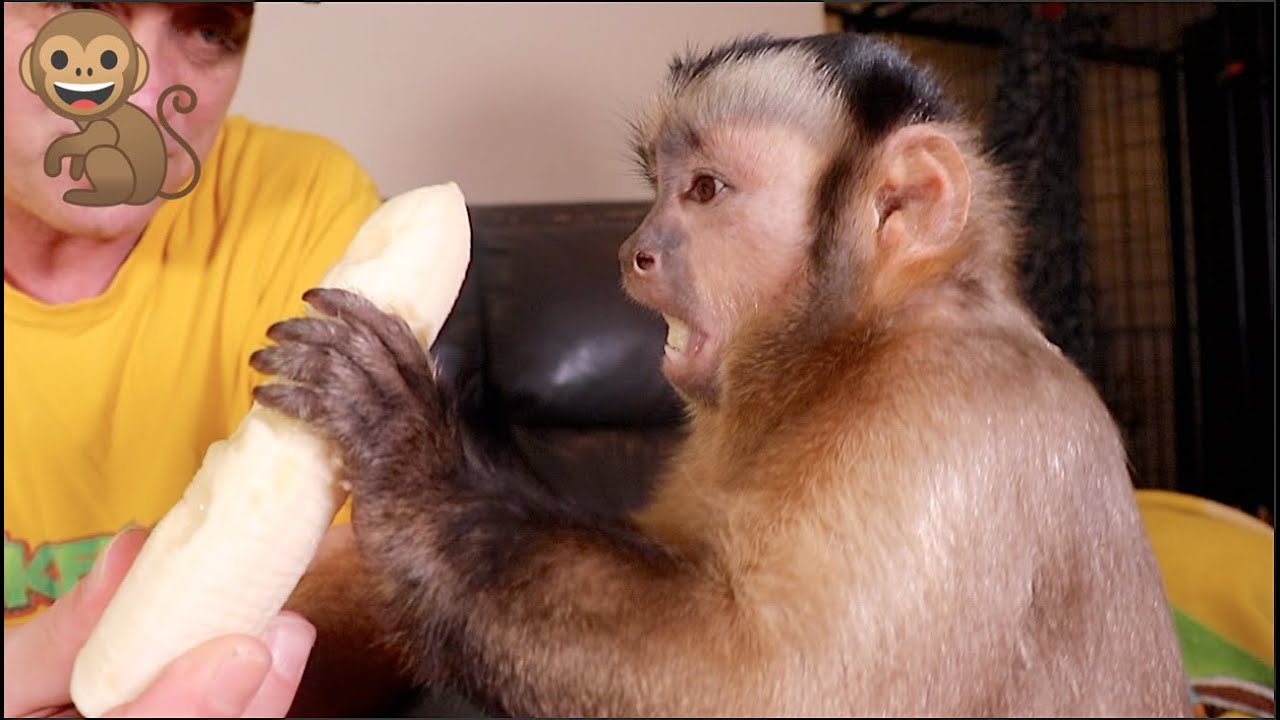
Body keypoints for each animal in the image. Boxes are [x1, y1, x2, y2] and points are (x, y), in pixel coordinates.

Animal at [19, 8, 200, 208]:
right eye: (58, 59)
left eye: (109, 59)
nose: (84, 71)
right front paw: (75, 168)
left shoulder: (104, 125)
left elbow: (95, 138)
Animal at [249, 32, 1192, 717]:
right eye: (658, 186)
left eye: (703, 190)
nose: (634, 250)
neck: (852, 346)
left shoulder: (953, 413)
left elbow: (763, 684)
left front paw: (398, 442)